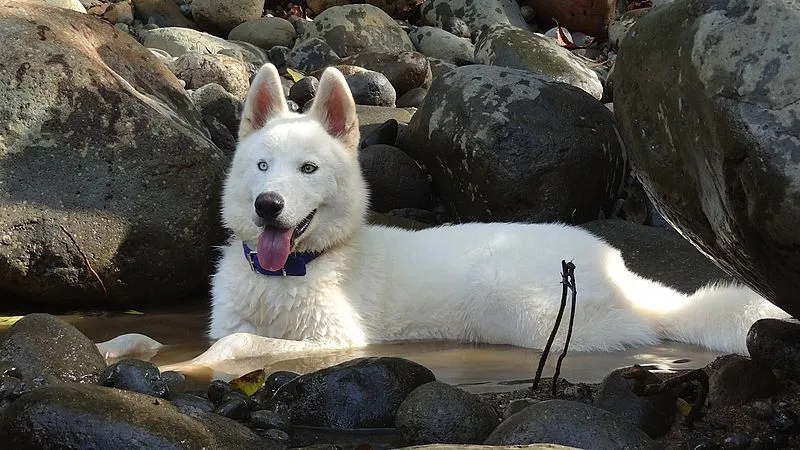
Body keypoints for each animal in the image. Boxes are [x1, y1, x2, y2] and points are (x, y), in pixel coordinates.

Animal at [200, 63, 788, 364]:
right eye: (261, 165)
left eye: (308, 168)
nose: (268, 205)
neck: (291, 272)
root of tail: (620, 269)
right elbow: (231, 334)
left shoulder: (339, 341)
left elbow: (239, 343)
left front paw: (195, 366)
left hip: (513, 303)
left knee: (643, 330)